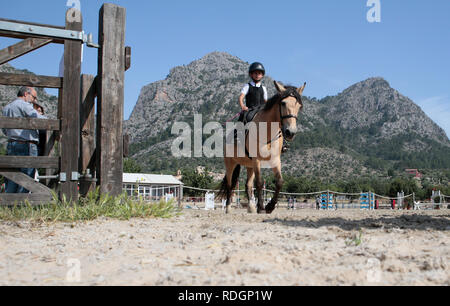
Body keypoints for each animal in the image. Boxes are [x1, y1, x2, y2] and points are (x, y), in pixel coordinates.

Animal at [217, 81, 306, 215]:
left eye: (299, 106)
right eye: (283, 103)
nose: (290, 132)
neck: (268, 131)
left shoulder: (275, 160)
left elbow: (279, 182)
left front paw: (270, 206)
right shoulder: (257, 160)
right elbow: (259, 183)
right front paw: (261, 207)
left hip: (249, 165)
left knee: (248, 185)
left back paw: (250, 208)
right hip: (230, 164)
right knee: (229, 184)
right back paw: (228, 208)